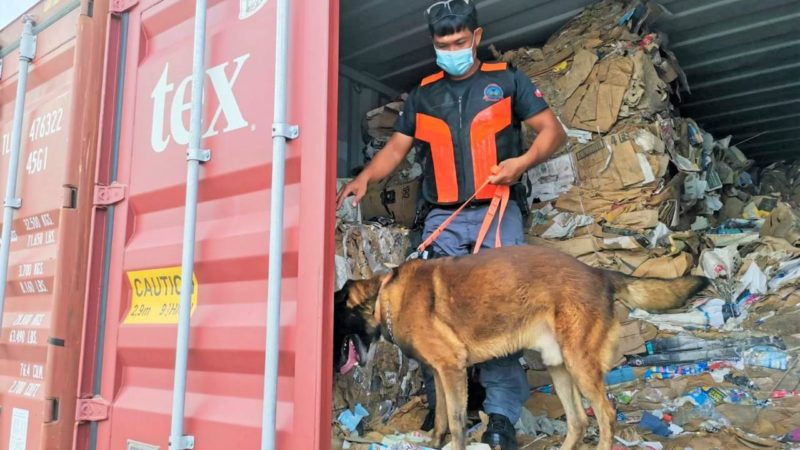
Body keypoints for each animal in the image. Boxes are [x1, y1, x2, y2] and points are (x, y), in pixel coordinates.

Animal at [334, 246, 708, 450]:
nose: (335, 366)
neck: (385, 295)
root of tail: (600, 273)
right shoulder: (440, 373)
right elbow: (440, 419)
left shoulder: (452, 370)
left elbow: (455, 422)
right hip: (560, 366)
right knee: (578, 421)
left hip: (579, 365)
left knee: (606, 414)